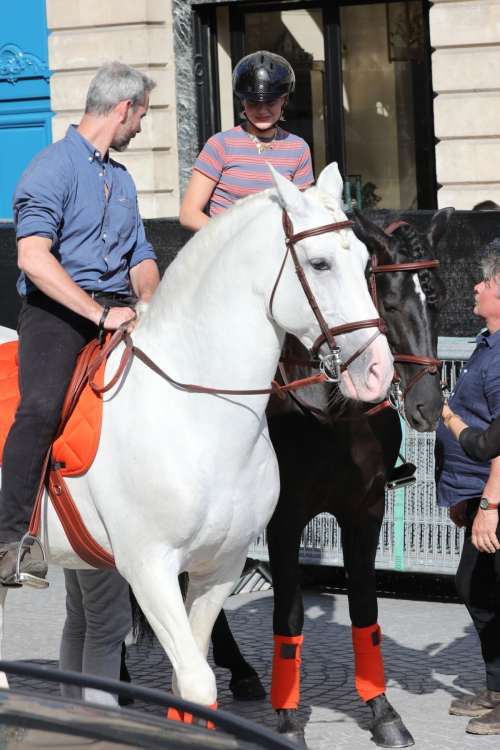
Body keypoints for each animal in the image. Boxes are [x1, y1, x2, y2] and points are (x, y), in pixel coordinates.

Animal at [0, 166, 394, 712]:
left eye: (364, 262)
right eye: (319, 264)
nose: (378, 371)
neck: (197, 415)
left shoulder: (220, 568)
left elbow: (187, 685)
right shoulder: (150, 569)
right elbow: (195, 680)